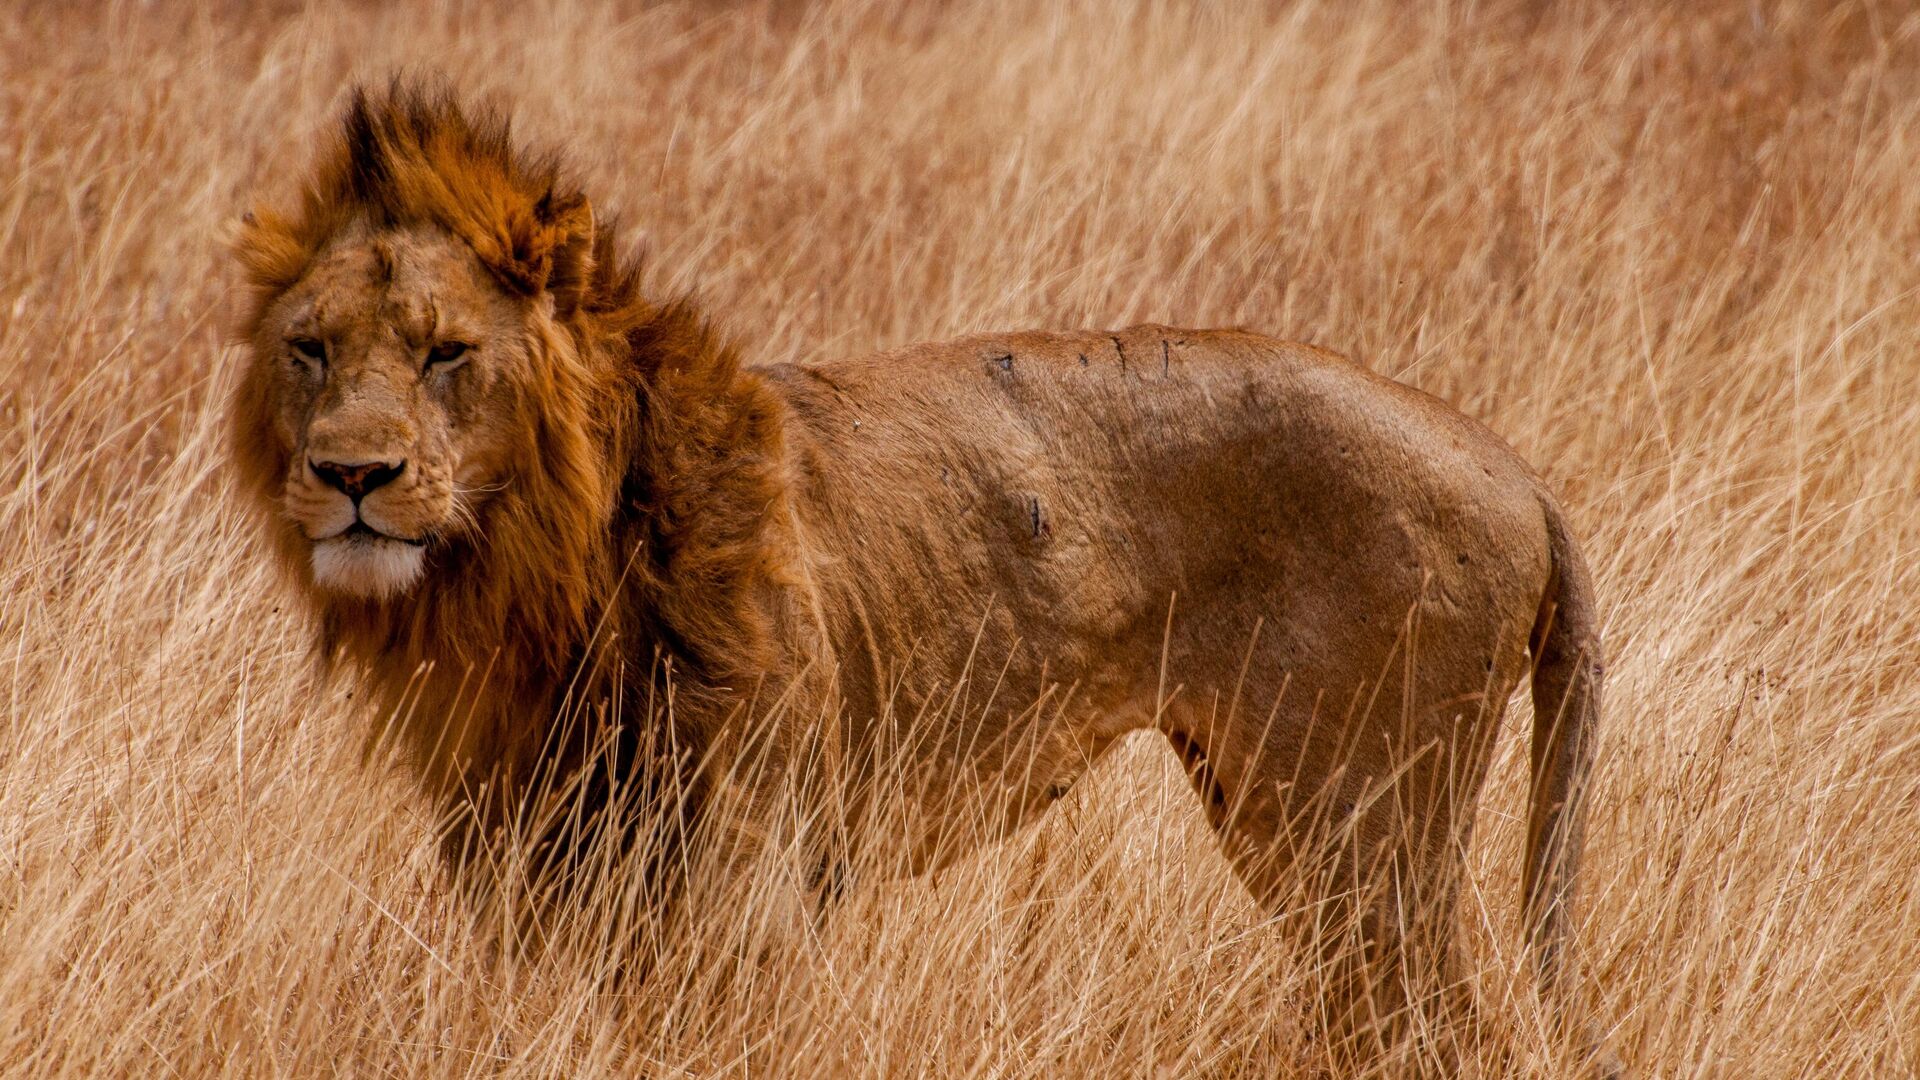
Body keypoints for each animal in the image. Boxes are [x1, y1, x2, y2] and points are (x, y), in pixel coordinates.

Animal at [224, 82, 1605, 1060]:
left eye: (447, 353)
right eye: (311, 349)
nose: (353, 473)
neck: (527, 585)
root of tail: (1516, 470)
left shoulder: (744, 884)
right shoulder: (529, 869)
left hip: (1358, 839)